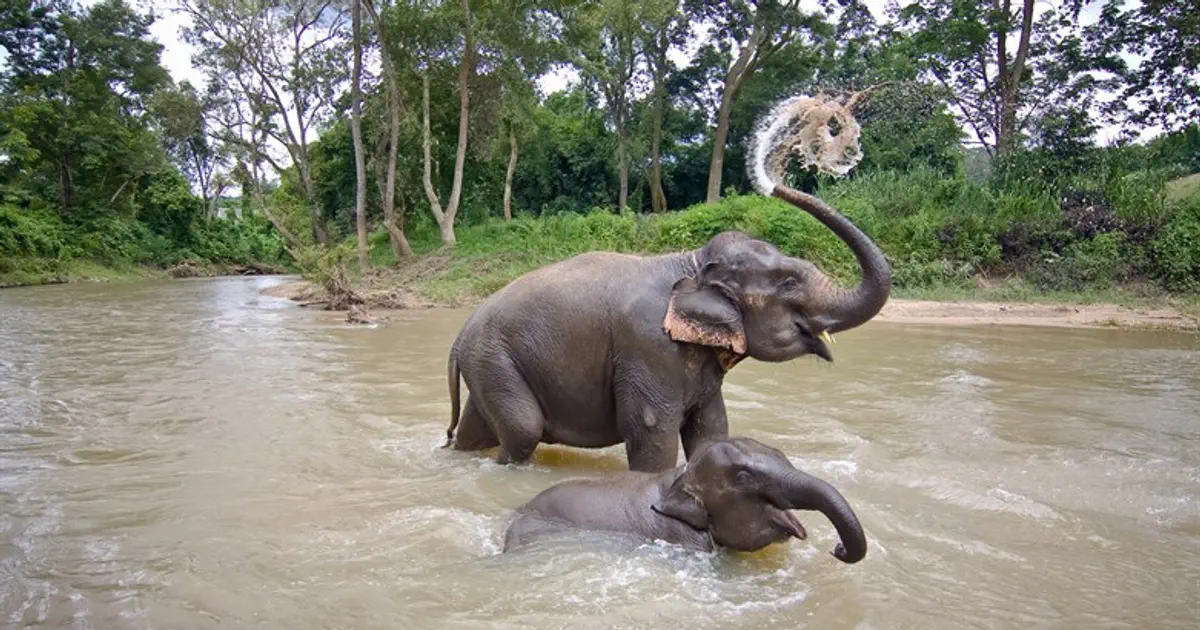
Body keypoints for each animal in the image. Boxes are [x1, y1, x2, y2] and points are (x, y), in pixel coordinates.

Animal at [444, 181, 892, 470]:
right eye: (789, 282)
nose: (776, 183)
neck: (691, 263)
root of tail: (460, 335)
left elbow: (710, 430)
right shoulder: (649, 349)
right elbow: (650, 432)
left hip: (490, 364)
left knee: (478, 429)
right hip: (495, 359)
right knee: (523, 430)